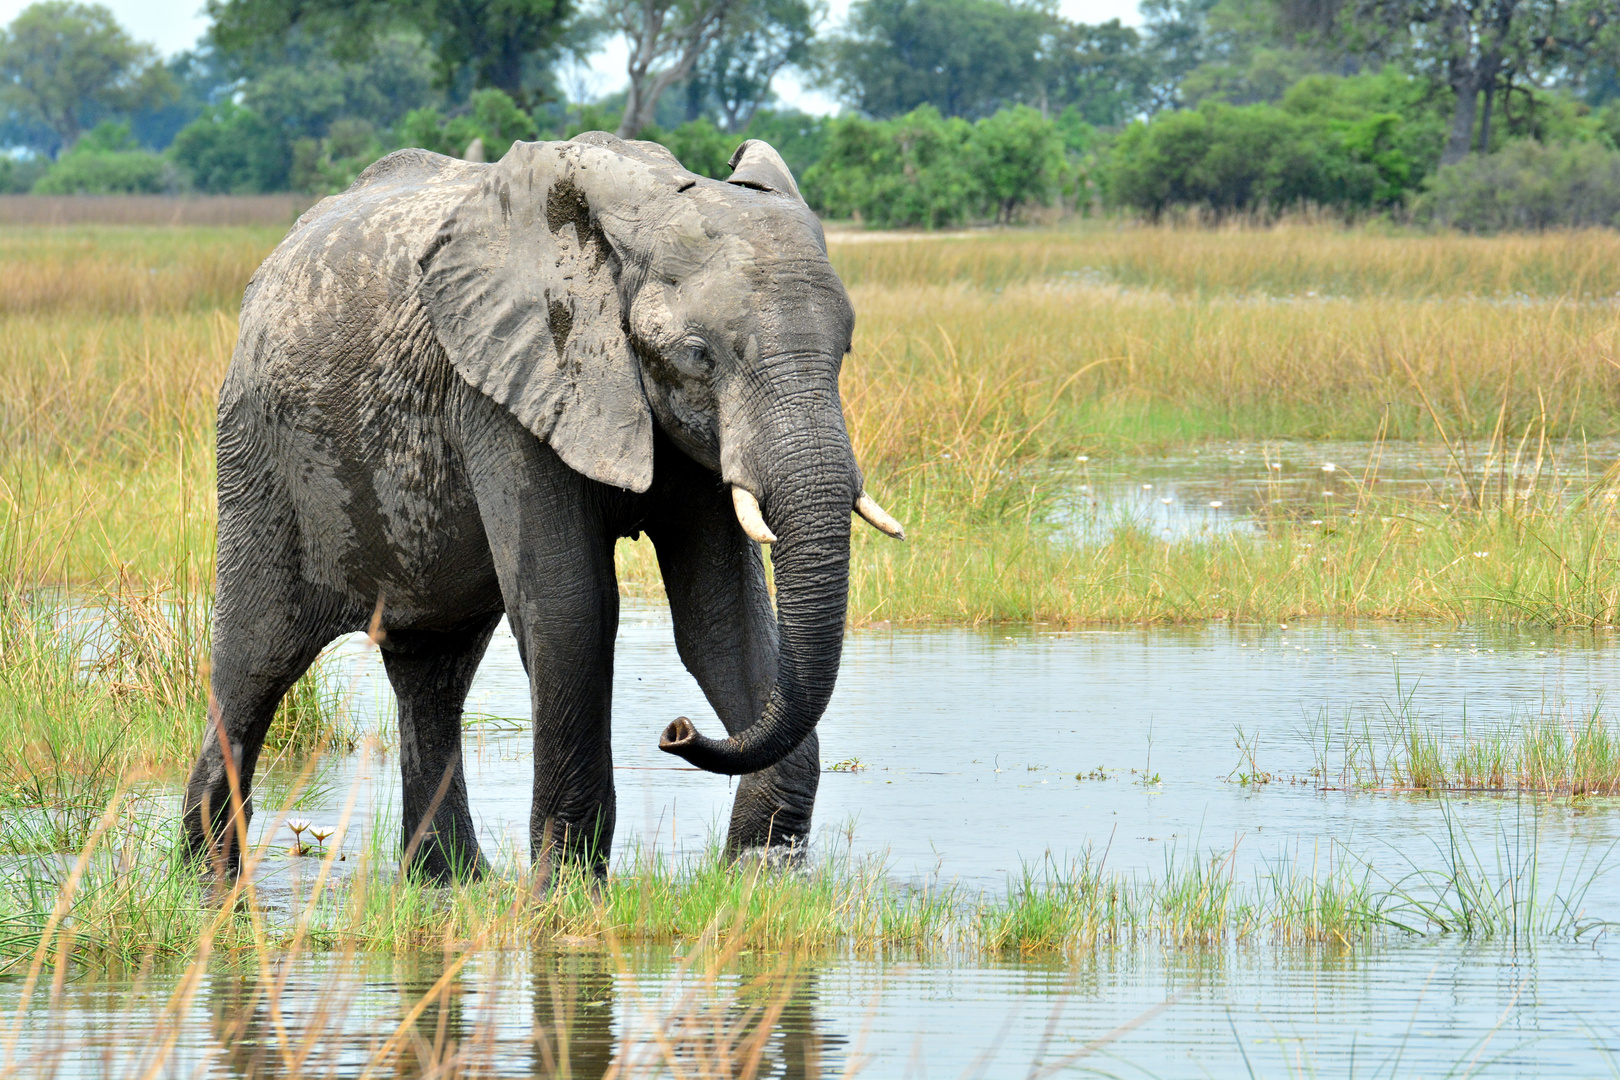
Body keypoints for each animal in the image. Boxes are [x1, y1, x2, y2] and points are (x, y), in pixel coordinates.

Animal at [183, 131, 907, 880]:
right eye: (697, 354)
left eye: (845, 347)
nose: (675, 731)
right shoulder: (508, 390)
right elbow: (572, 607)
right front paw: (567, 889)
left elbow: (720, 617)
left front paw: (761, 871)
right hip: (259, 458)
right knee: (256, 663)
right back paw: (211, 878)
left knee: (433, 675)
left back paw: (447, 884)